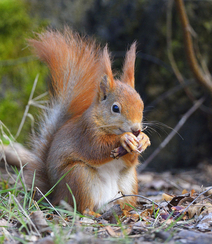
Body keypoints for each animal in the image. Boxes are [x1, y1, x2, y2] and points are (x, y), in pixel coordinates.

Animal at [26, 28, 151, 213]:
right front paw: (124, 138)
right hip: (79, 177)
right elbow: (96, 149)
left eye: (141, 104)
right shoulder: (86, 133)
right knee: (82, 207)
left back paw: (127, 211)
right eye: (115, 108)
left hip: (129, 181)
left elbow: (131, 160)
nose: (136, 129)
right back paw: (92, 213)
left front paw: (143, 139)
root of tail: (55, 195)